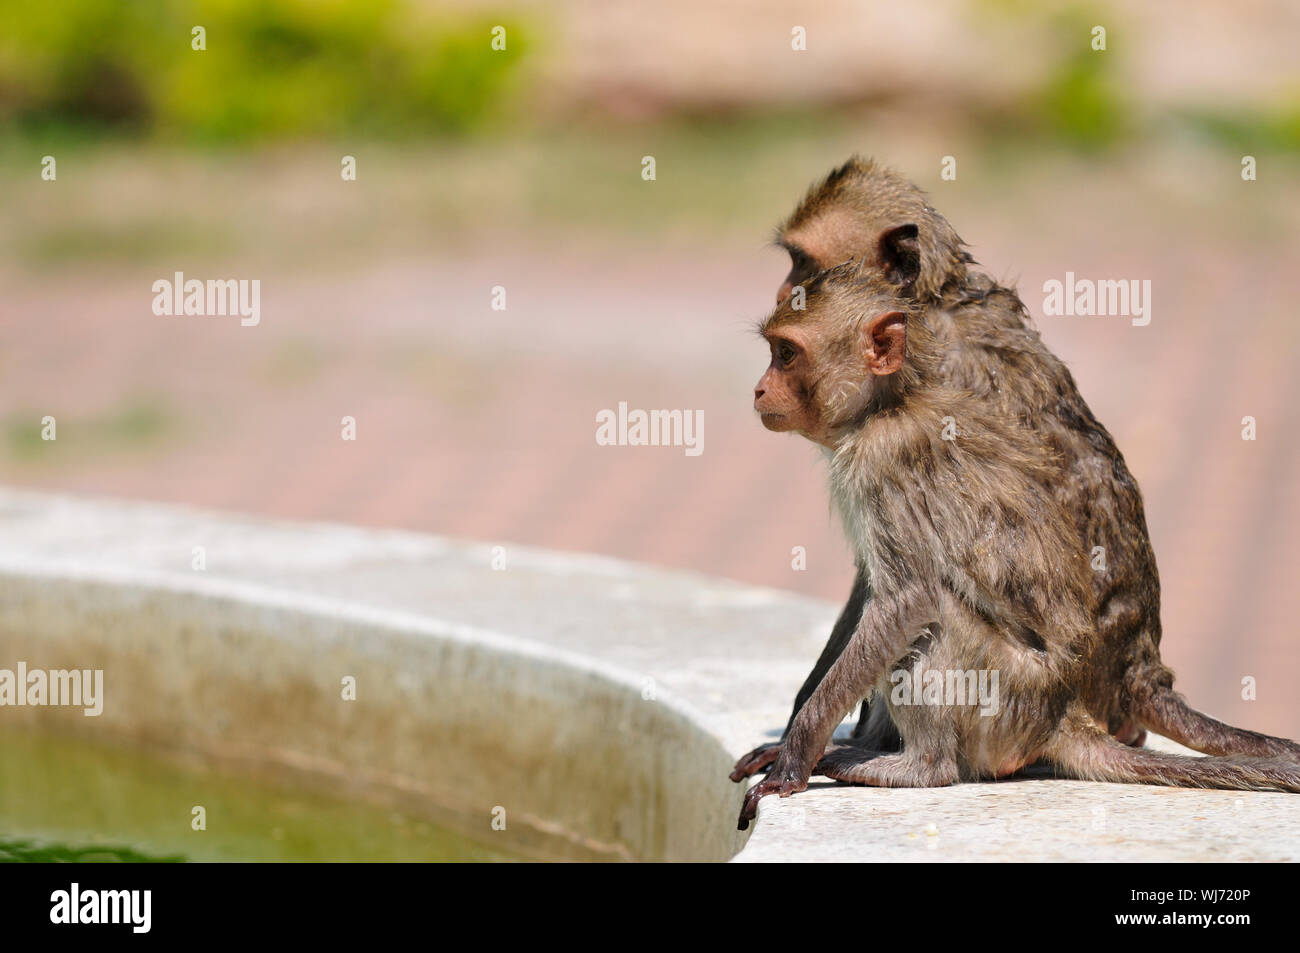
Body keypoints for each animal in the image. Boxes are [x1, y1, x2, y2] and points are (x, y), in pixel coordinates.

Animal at [730, 156, 1300, 785]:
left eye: (803, 263)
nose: (785, 291)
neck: (936, 304)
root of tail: (1140, 672)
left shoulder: (904, 435)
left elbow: (907, 592)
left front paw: (799, 740)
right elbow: (874, 581)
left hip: (1009, 698)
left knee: (939, 614)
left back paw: (911, 764)